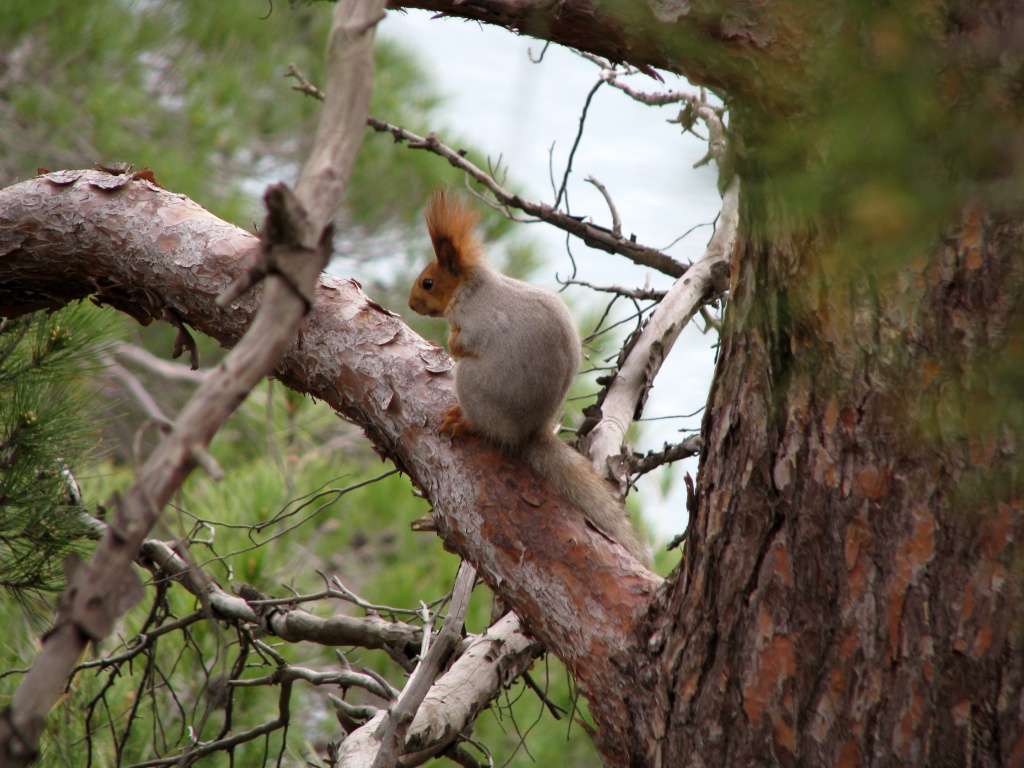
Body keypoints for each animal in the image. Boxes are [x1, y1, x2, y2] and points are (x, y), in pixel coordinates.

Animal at [408, 189, 649, 565]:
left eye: (428, 282)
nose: (410, 303)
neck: (472, 289)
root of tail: (528, 432)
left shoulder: (478, 322)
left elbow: (464, 343)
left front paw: (451, 341)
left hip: (473, 385)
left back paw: (464, 421)